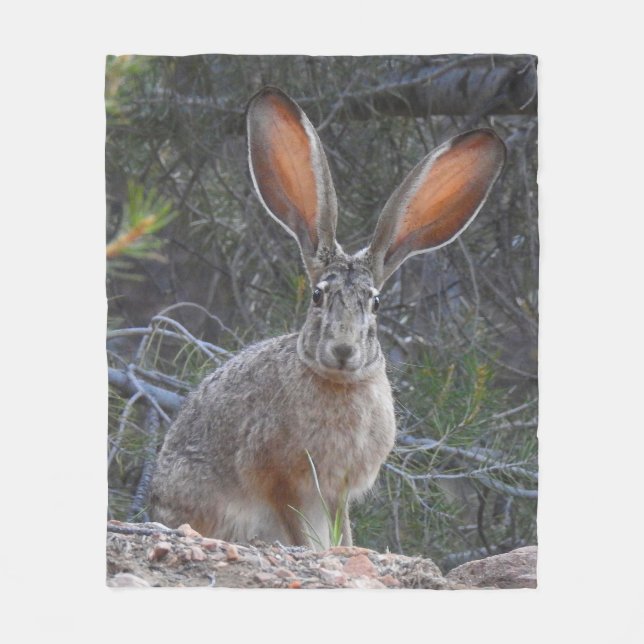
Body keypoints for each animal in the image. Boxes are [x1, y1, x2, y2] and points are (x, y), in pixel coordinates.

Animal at [148, 86, 506, 549]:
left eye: (375, 303)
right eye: (317, 296)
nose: (342, 349)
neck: (339, 383)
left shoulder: (338, 491)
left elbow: (343, 532)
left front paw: (348, 549)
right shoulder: (279, 478)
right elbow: (298, 528)